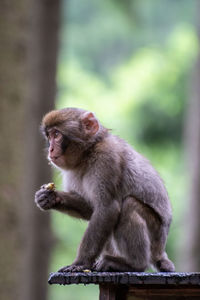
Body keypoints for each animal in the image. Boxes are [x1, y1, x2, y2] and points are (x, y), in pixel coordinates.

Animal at [34, 107, 175, 272]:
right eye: (49, 136)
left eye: (56, 135)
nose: (50, 149)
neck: (88, 154)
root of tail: (160, 251)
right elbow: (92, 210)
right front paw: (50, 197)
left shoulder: (107, 159)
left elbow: (107, 208)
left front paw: (80, 263)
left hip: (155, 235)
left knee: (129, 205)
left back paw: (133, 264)